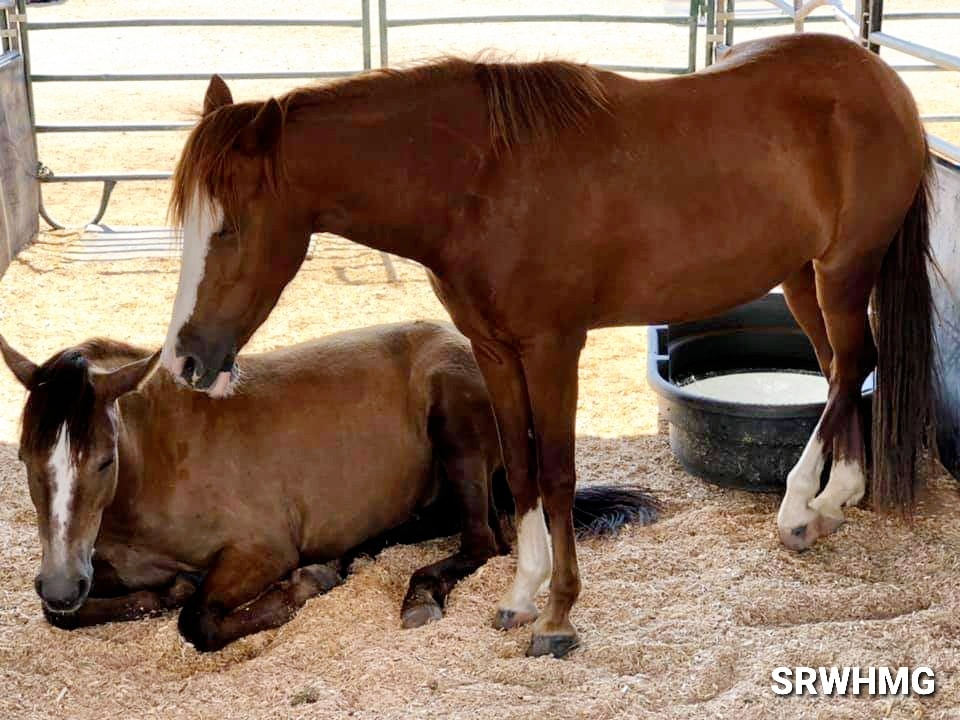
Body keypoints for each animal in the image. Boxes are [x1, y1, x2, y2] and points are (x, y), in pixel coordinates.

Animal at [0, 326, 652, 652]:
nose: (61, 583)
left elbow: (198, 621)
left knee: (483, 541)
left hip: (458, 431)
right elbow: (64, 616)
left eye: (104, 460)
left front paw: (299, 588)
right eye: (26, 457)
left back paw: (412, 594)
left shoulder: (260, 551)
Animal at [159, 33, 936, 656]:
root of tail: (881, 78)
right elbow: (524, 467)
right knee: (842, 371)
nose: (185, 362)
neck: (479, 181)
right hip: (803, 275)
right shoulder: (494, 350)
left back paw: (801, 507)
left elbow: (558, 473)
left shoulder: (554, 347)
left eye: (230, 226)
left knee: (852, 367)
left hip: (844, 269)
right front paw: (520, 596)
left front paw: (559, 616)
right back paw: (835, 502)